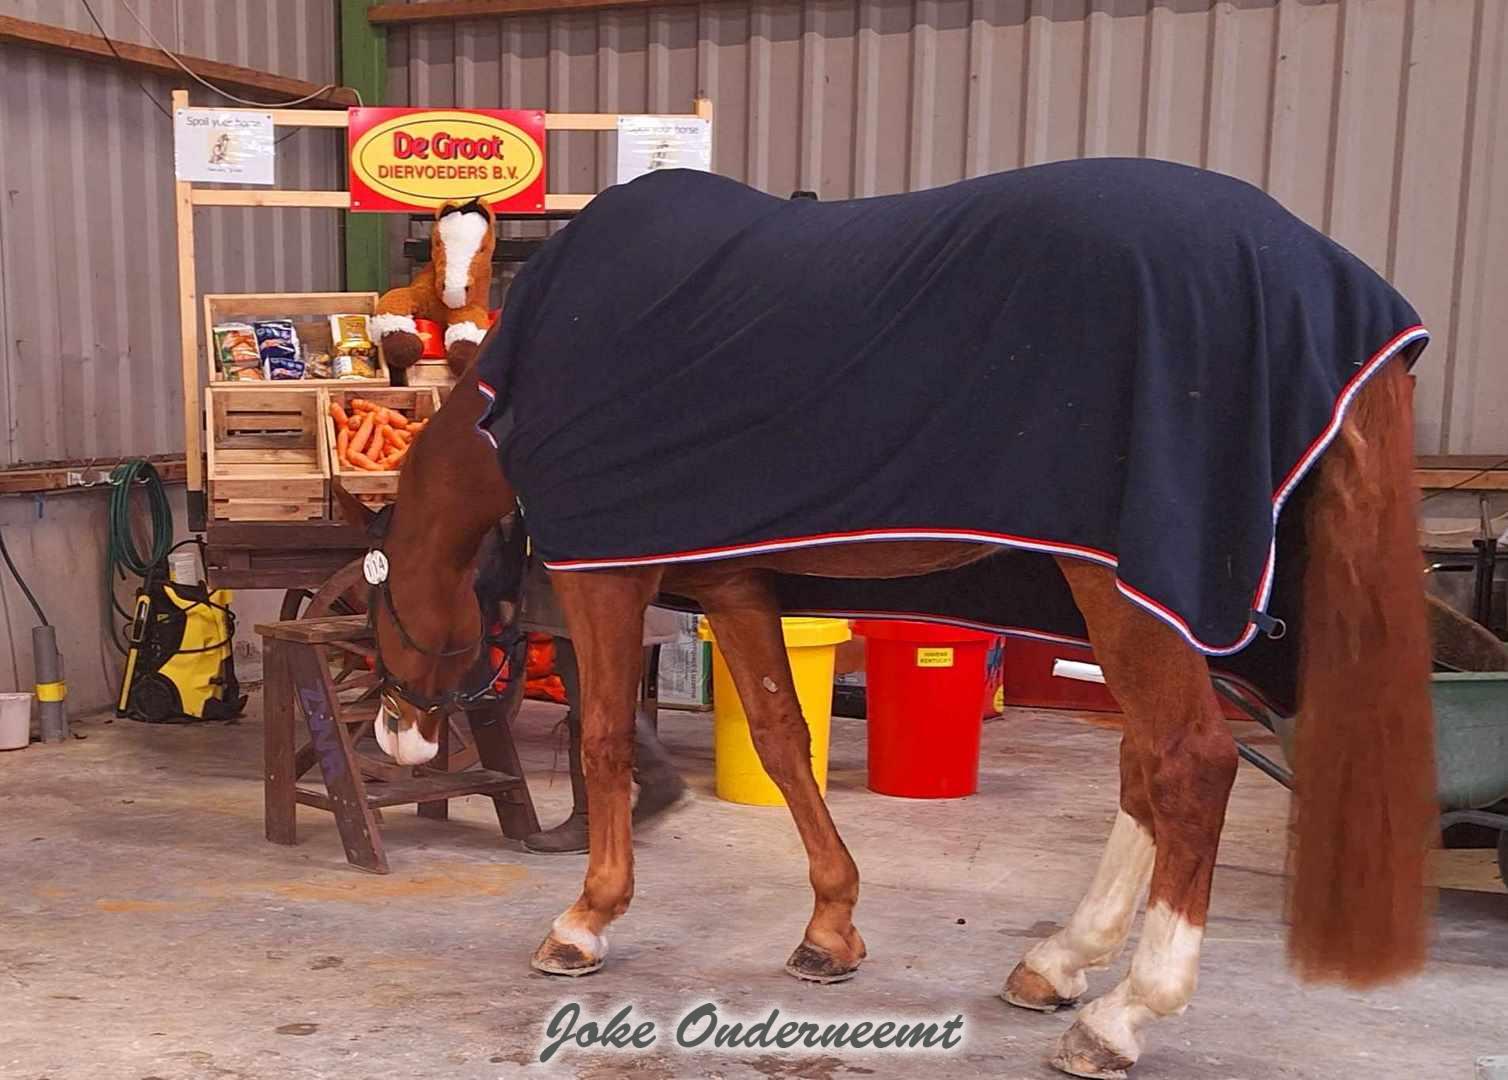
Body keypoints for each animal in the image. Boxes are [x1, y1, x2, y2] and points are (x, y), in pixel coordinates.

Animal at [342, 339, 1435, 1080]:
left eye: (374, 594)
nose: (395, 732)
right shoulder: (732, 577)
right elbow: (782, 741)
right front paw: (830, 927)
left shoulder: (602, 575)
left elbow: (604, 738)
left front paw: (585, 919)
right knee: (1145, 770)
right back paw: (1060, 962)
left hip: (1130, 594)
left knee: (1189, 767)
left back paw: (1123, 1015)